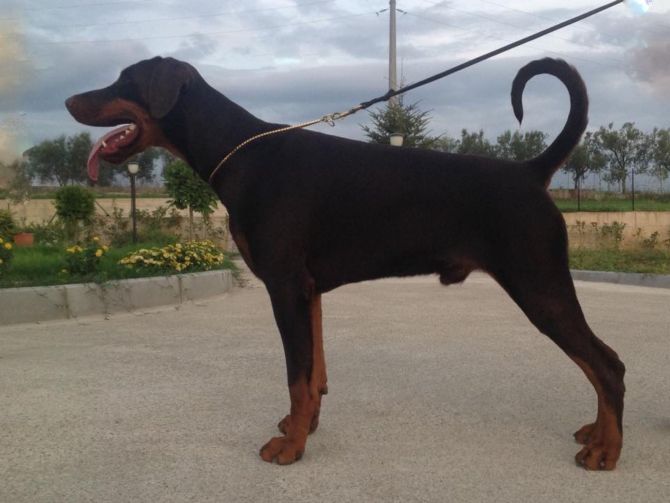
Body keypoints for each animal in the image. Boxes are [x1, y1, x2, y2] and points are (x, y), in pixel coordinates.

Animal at [66, 56, 625, 470]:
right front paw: (303, 427)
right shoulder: (307, 291)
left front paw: (290, 448)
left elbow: (296, 374)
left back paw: (607, 449)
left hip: (538, 285)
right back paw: (597, 433)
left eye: (124, 79)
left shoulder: (285, 286)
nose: (69, 99)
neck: (241, 153)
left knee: (607, 364)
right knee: (602, 364)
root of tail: (530, 172)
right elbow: (313, 374)